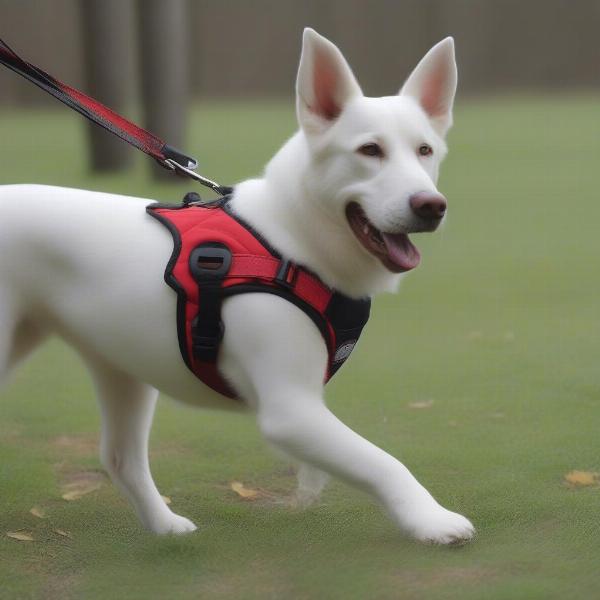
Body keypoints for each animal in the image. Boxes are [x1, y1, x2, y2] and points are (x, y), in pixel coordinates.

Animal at [0, 29, 476, 544]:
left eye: (425, 151)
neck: (290, 240)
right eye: (370, 150)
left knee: (120, 458)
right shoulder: (290, 410)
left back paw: (165, 526)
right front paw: (430, 520)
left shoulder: (306, 406)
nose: (431, 205)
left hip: (119, 365)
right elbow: (383, 462)